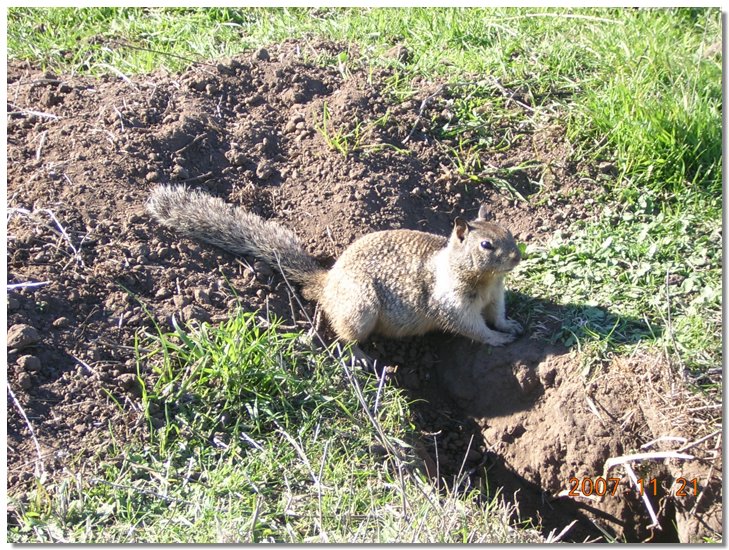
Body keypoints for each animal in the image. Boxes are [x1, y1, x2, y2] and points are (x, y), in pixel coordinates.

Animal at [148, 185, 524, 356]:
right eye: (486, 245)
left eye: (509, 231)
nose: (517, 257)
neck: (485, 280)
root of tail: (326, 283)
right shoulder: (453, 302)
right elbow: (472, 327)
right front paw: (498, 339)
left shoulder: (495, 297)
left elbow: (497, 314)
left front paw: (511, 326)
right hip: (360, 308)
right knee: (344, 337)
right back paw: (360, 356)